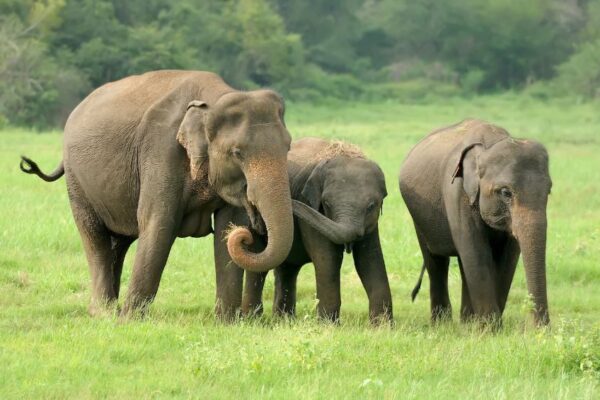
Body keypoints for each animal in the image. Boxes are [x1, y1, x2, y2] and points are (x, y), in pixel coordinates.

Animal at [22, 70, 294, 318]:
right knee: (95, 237)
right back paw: (105, 313)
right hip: (77, 181)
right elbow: (158, 224)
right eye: (237, 153)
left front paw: (226, 322)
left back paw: (111, 309)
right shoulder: (160, 150)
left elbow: (228, 227)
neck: (215, 96)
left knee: (118, 243)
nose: (252, 234)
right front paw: (130, 321)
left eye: (288, 146)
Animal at [213, 137, 392, 322]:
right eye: (326, 203)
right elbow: (327, 259)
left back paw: (283, 320)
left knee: (287, 269)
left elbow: (369, 259)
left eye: (371, 206)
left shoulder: (371, 224)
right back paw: (255, 320)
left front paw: (382, 326)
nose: (289, 202)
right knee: (260, 266)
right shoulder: (313, 211)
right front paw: (328, 324)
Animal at [400, 118, 552, 324]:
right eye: (506, 192)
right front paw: (490, 328)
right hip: (420, 218)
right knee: (435, 260)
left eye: (549, 191)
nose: (541, 328)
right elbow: (476, 253)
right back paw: (442, 324)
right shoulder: (457, 193)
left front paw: (485, 325)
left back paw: (466, 322)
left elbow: (508, 259)